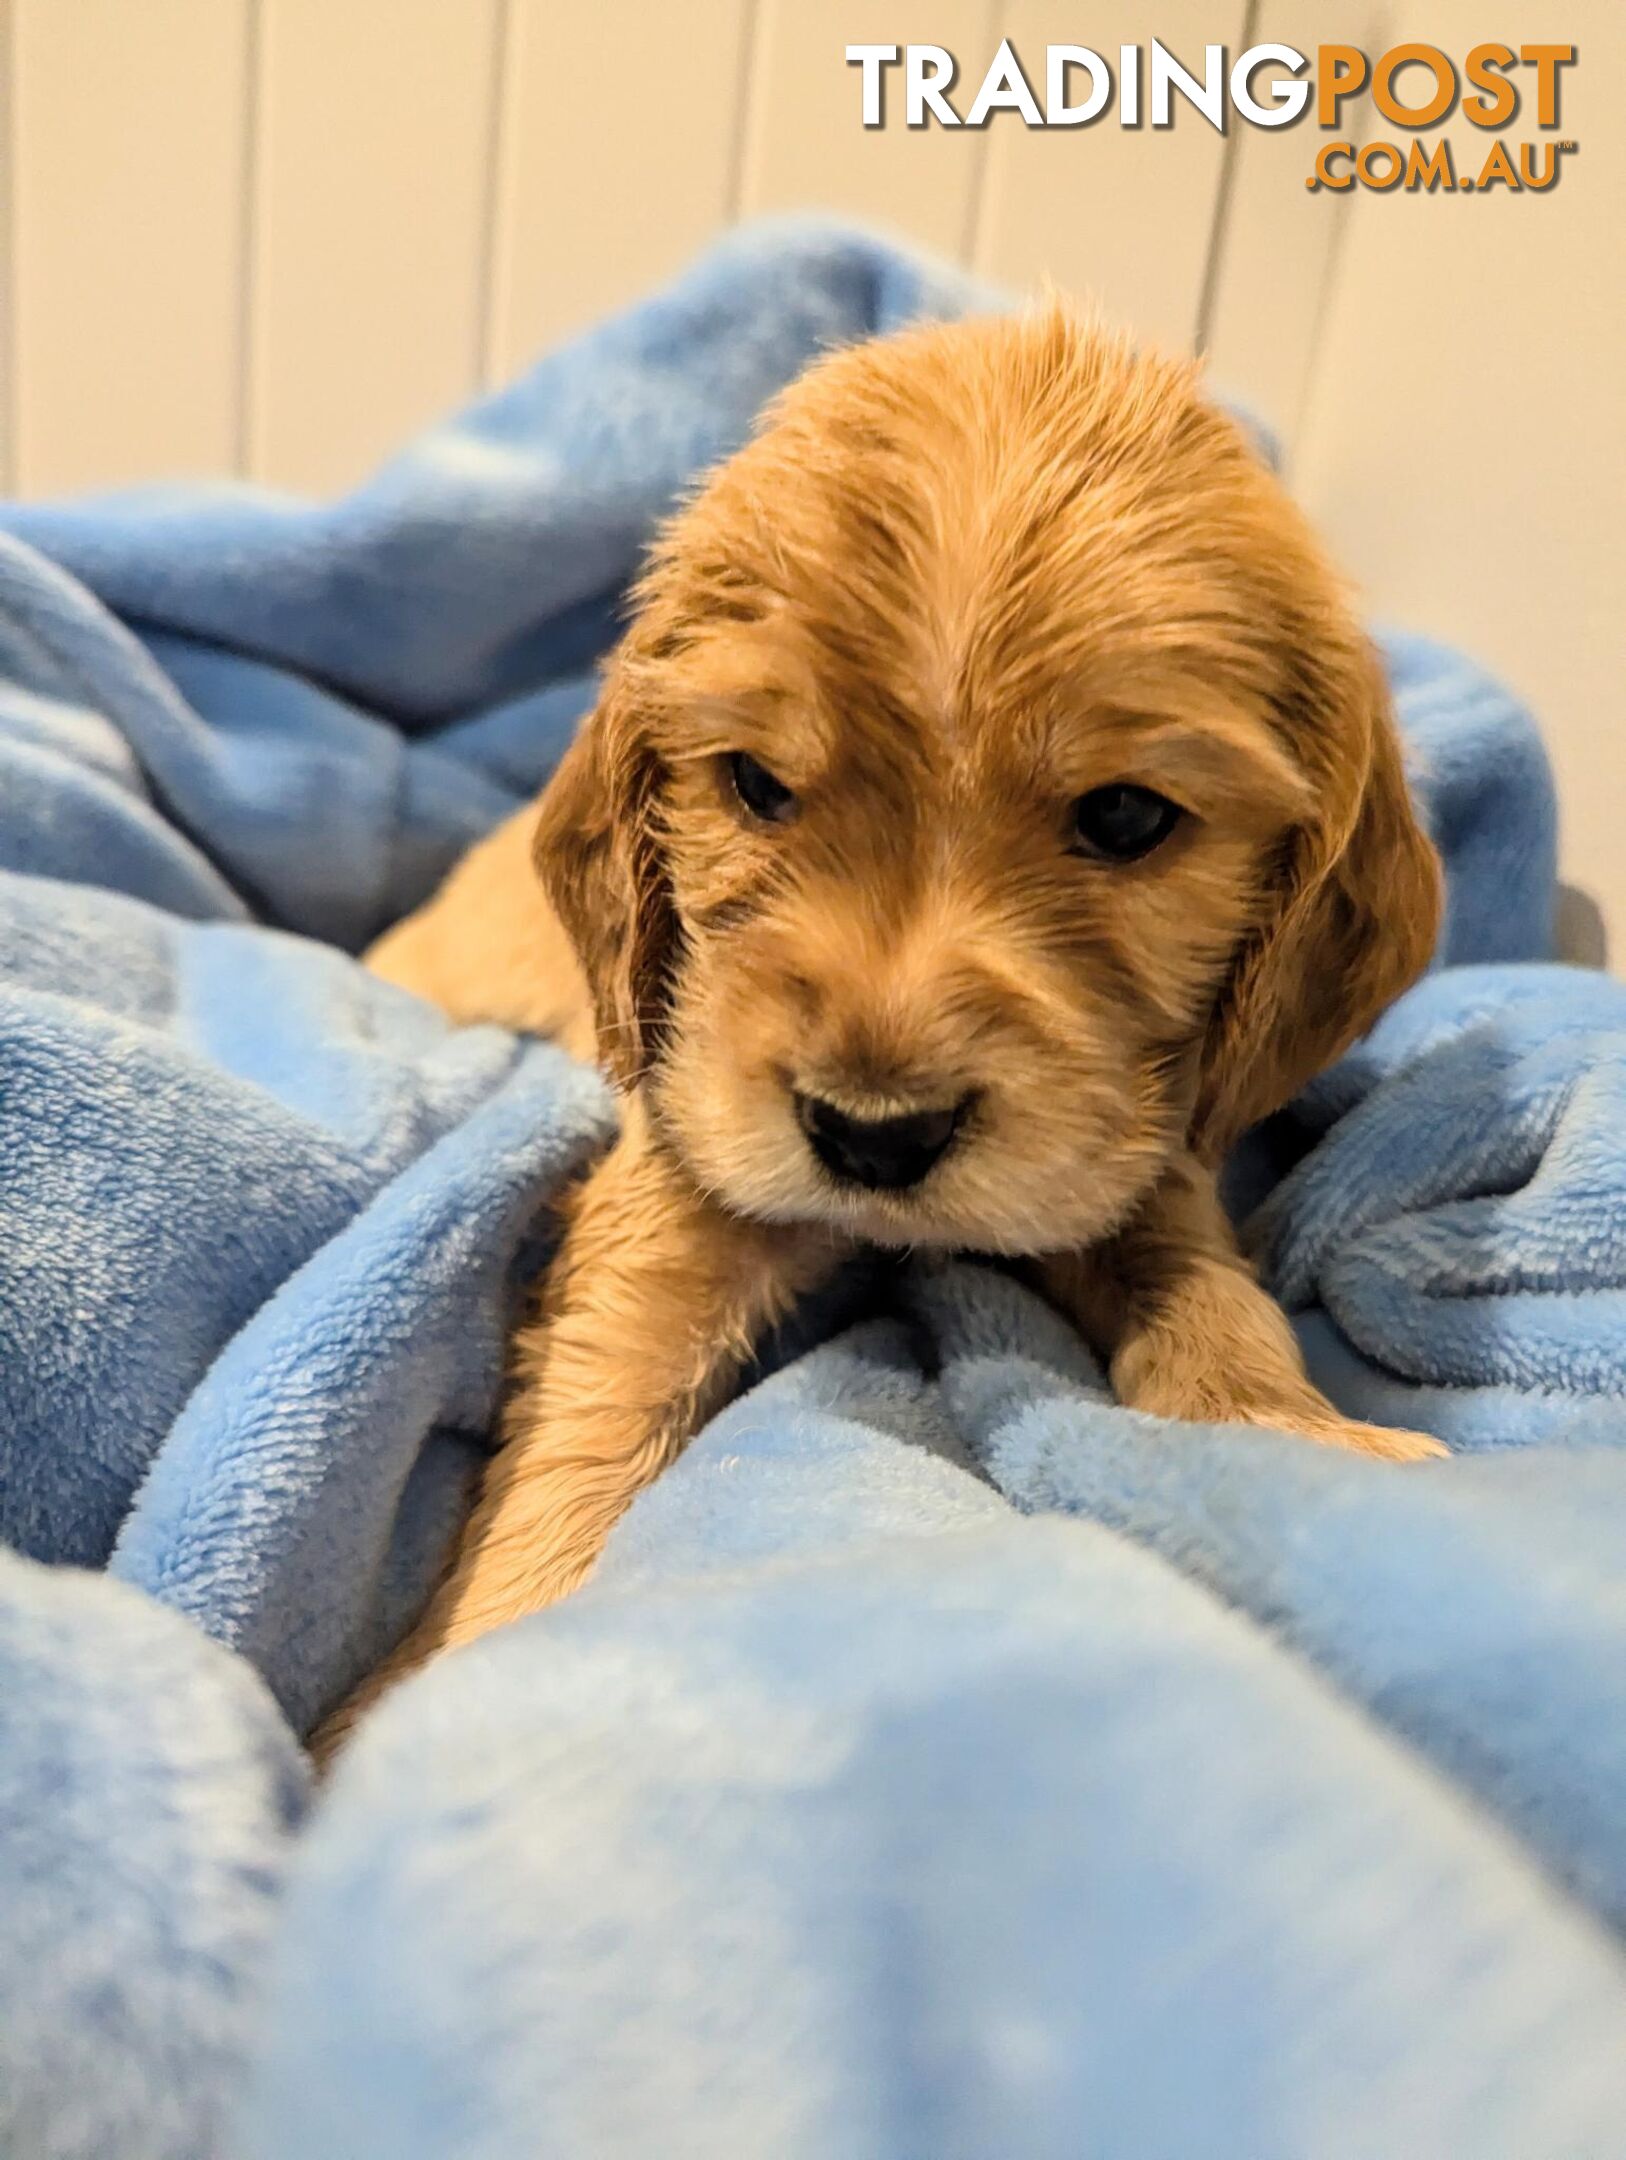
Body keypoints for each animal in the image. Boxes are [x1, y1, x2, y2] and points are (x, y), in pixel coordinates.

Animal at [323, 304, 1442, 1745]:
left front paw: (1294, 1435)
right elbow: (591, 1406)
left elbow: (1211, 1296)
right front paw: (454, 1669)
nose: (872, 1136)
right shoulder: (683, 1148)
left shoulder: (1142, 1150)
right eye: (756, 785)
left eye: (1126, 816)